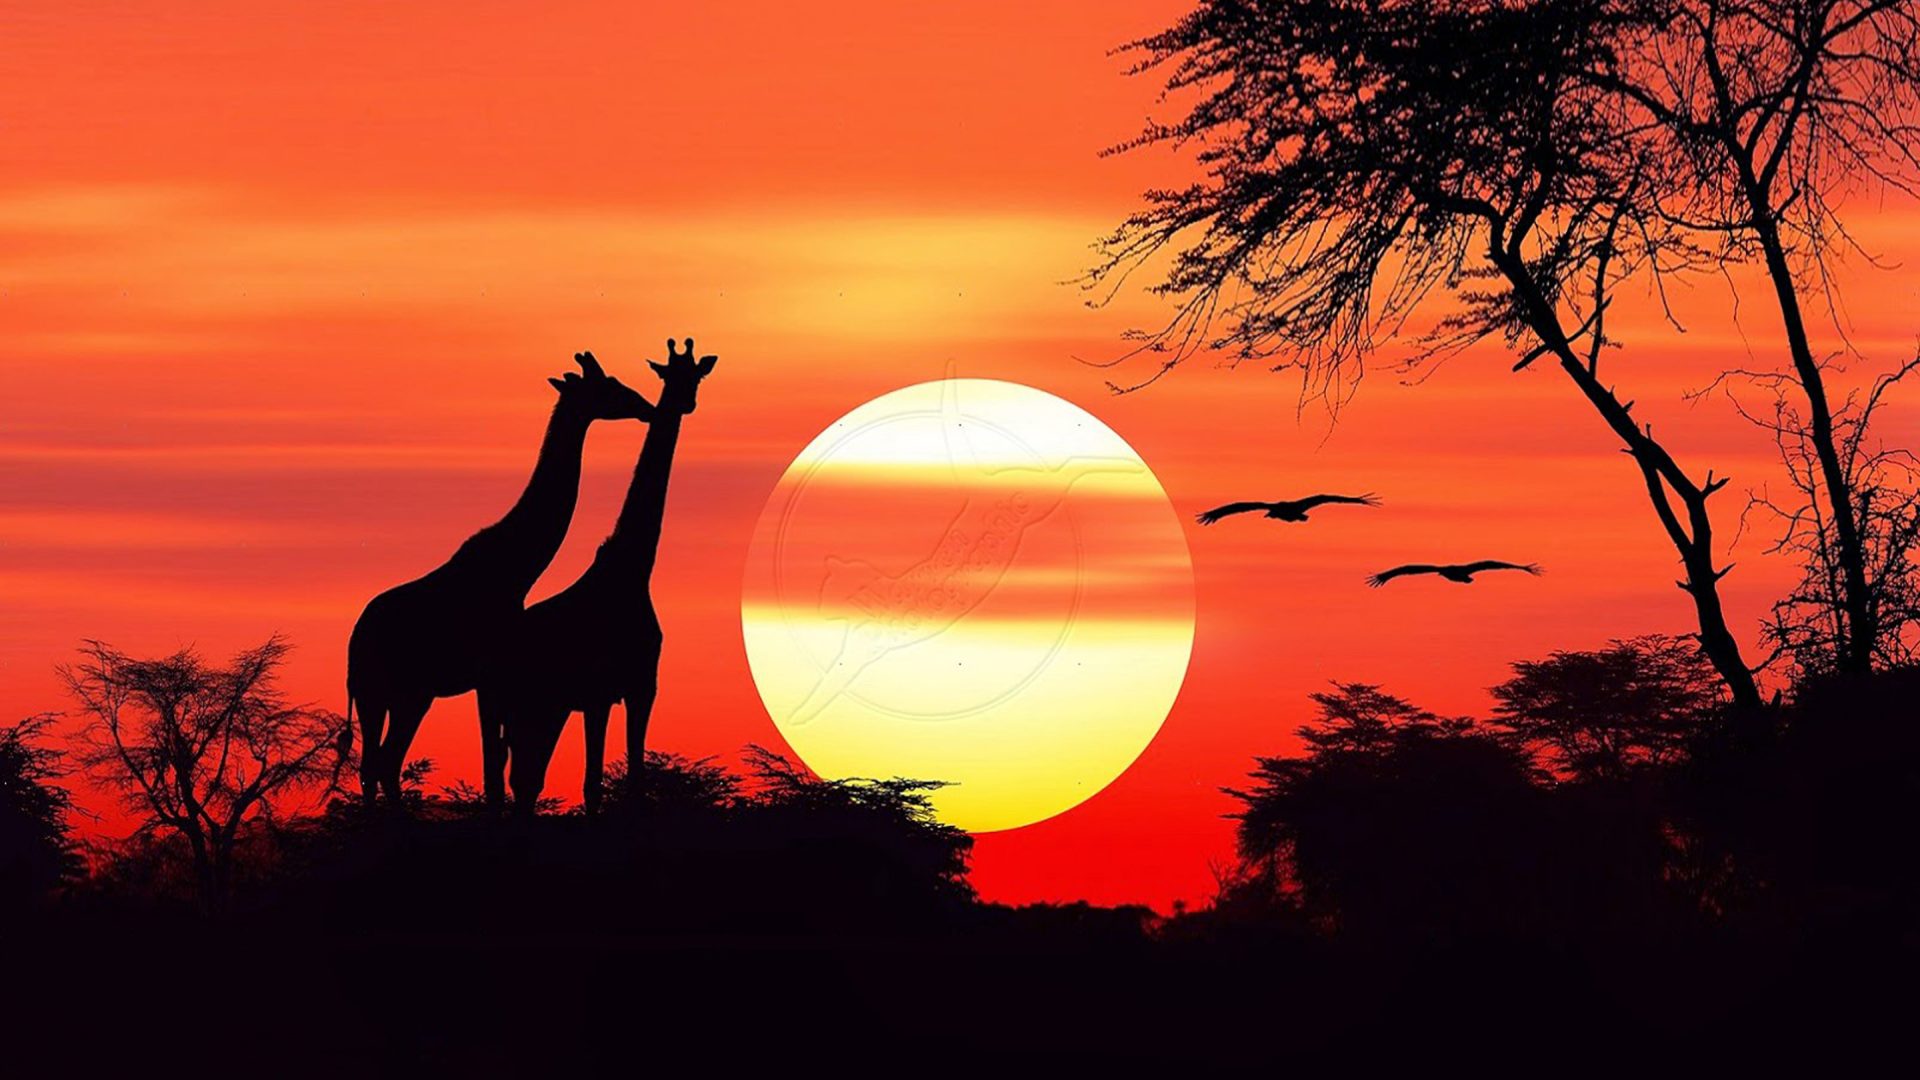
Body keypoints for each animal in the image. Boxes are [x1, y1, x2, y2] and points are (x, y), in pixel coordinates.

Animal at [346, 351, 657, 805]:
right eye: (609, 386)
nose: (646, 406)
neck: (517, 566)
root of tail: (354, 643)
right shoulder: (489, 675)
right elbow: (493, 769)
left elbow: (497, 766)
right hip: (380, 693)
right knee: (377, 763)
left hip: (406, 695)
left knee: (381, 763)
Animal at [481, 337, 716, 816]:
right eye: (670, 374)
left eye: (697, 375)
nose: (685, 403)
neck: (634, 569)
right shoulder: (605, 690)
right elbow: (598, 783)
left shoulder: (637, 687)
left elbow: (625, 779)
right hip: (527, 705)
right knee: (519, 779)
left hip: (542, 708)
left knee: (523, 780)